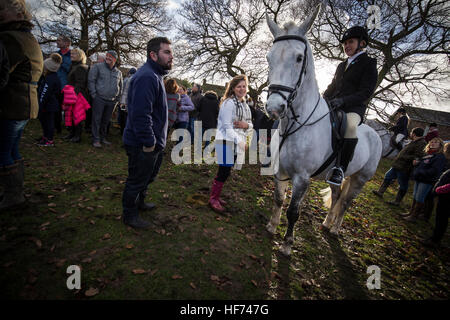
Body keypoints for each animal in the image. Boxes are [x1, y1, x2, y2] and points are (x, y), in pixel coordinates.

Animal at [264, 6, 384, 256]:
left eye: (299, 58)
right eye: (269, 57)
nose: (274, 108)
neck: (295, 126)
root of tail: (376, 135)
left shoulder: (302, 178)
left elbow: (293, 211)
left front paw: (287, 245)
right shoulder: (281, 170)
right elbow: (279, 199)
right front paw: (271, 226)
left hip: (360, 179)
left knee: (346, 203)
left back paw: (336, 229)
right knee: (337, 195)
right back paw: (327, 223)